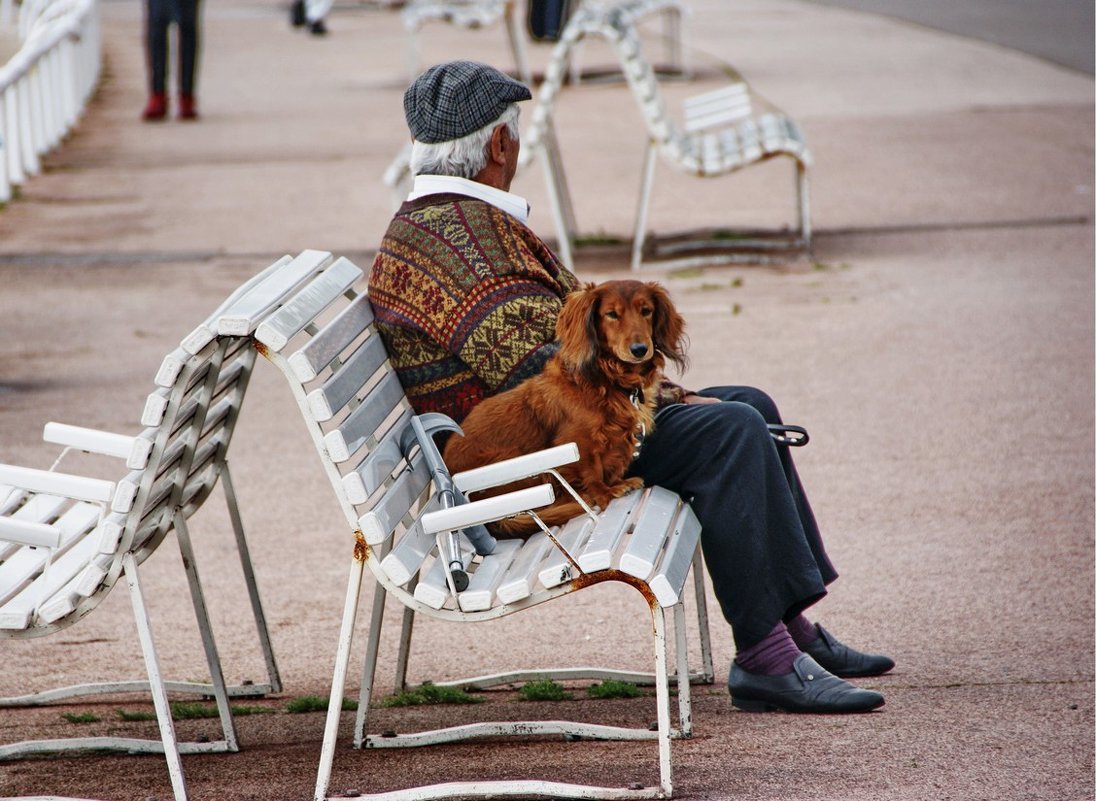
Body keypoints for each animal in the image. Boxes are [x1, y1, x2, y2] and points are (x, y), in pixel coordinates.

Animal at [442, 280, 683, 539]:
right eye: (611, 314)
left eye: (646, 310)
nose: (640, 349)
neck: (607, 380)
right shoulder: (576, 443)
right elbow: (590, 471)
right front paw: (604, 493)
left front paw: (617, 482)